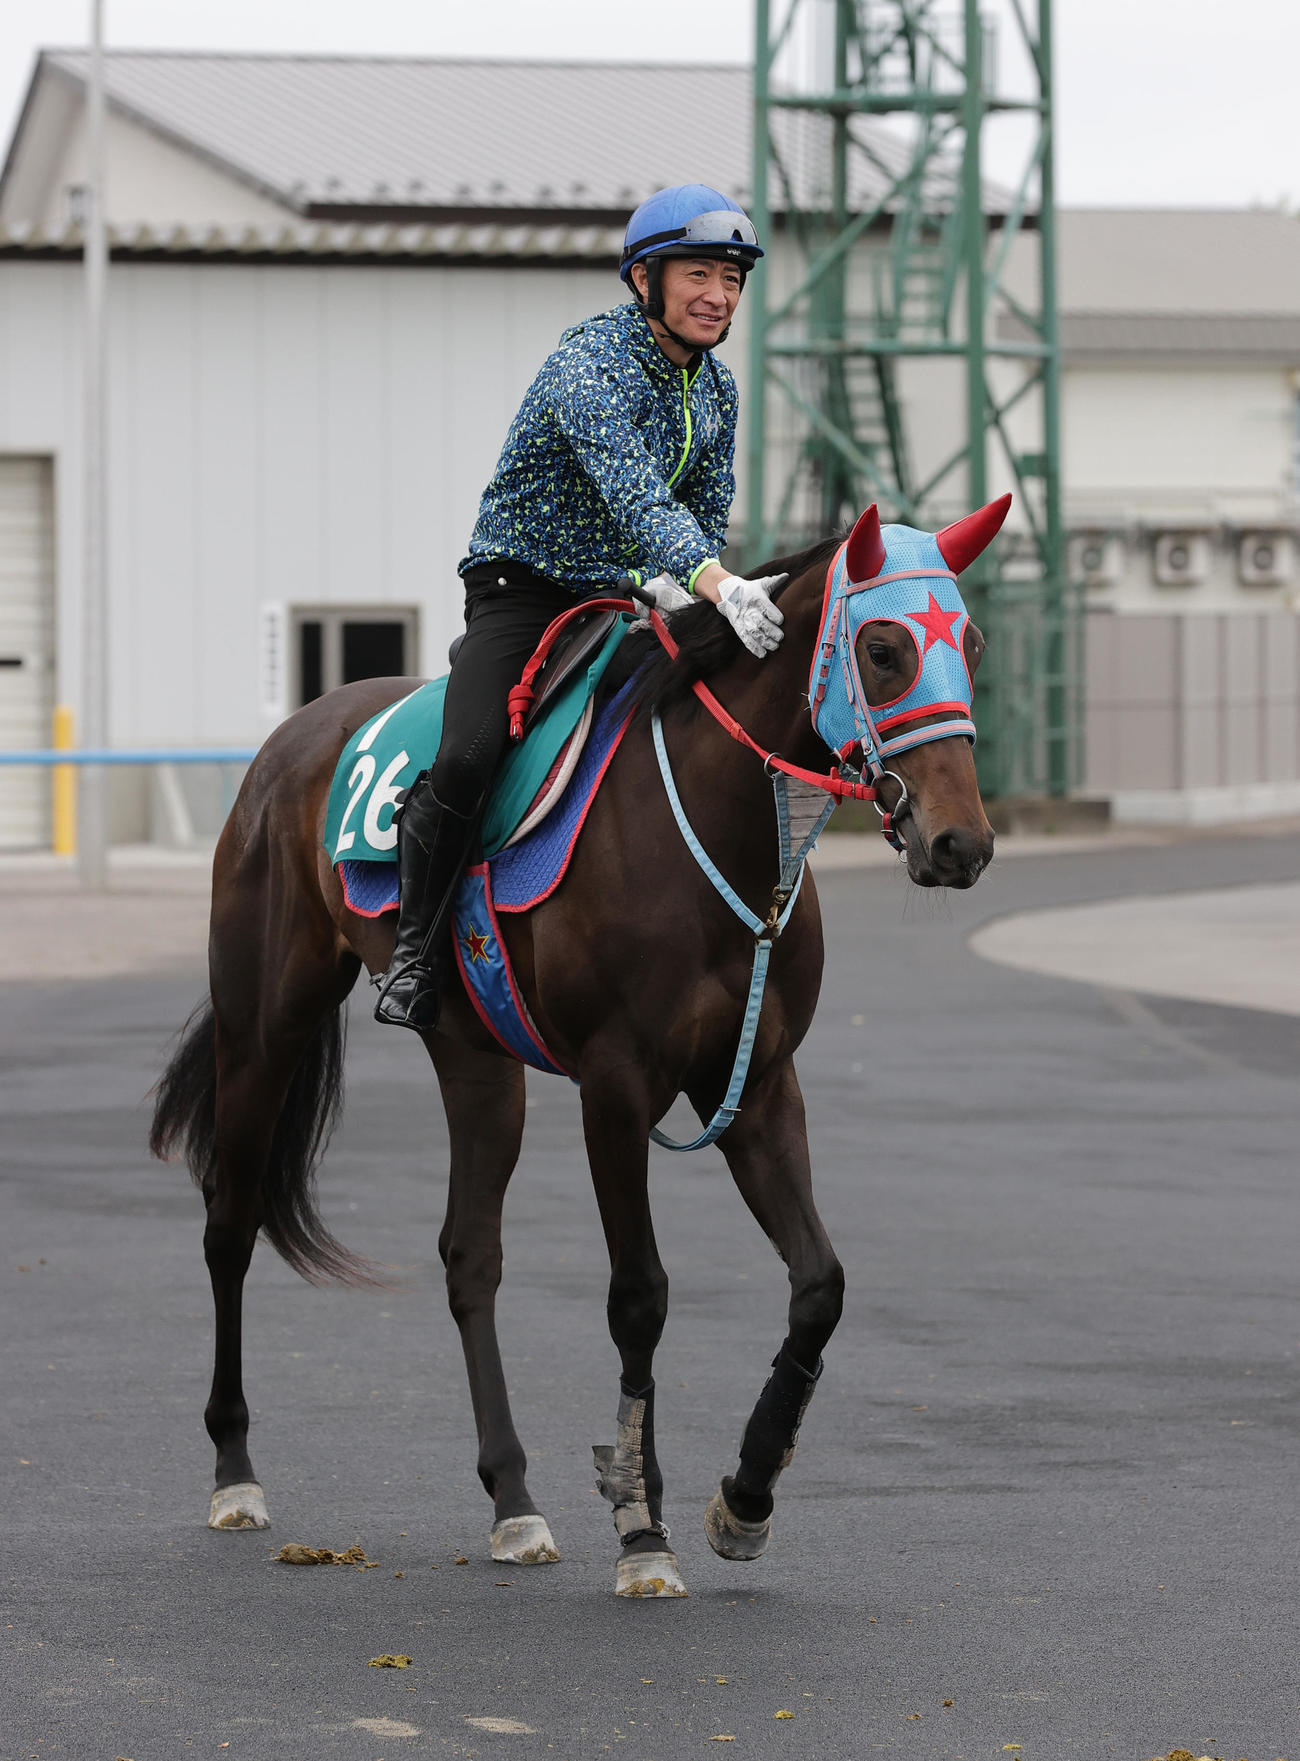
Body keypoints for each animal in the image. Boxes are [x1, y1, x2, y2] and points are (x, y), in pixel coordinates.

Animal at [149, 497, 1005, 1597]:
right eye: (885, 647)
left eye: (970, 645)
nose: (961, 844)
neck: (710, 825)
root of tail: (289, 737)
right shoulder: (616, 1085)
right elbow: (639, 1298)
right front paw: (643, 1528)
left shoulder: (756, 1084)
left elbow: (820, 1284)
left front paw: (744, 1498)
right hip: (265, 1021)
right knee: (230, 1223)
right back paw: (235, 1472)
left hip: (475, 1058)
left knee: (468, 1255)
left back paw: (513, 1499)